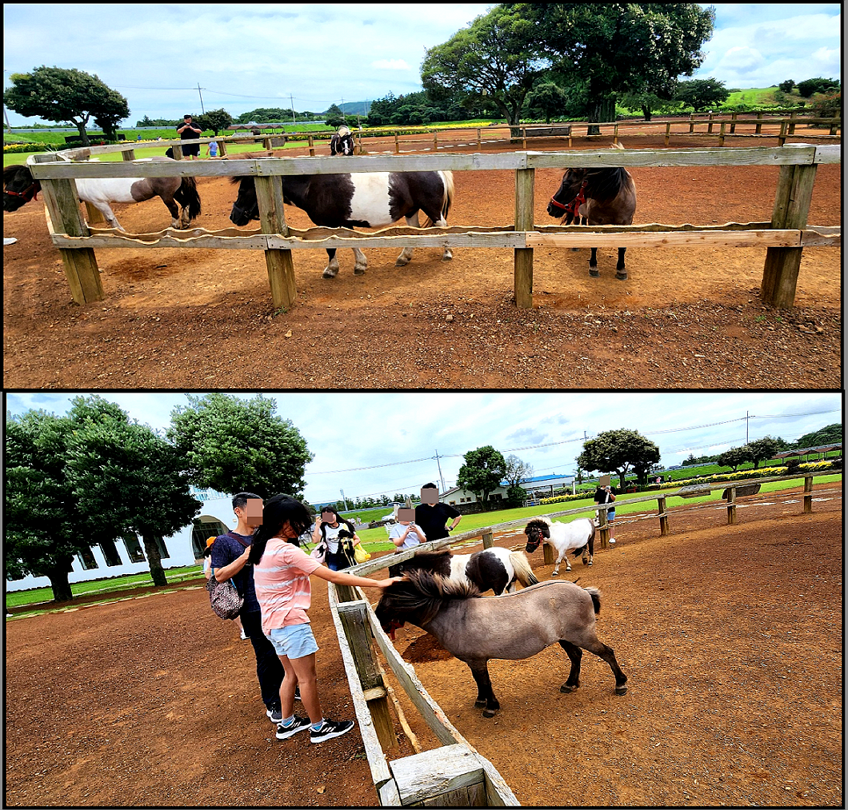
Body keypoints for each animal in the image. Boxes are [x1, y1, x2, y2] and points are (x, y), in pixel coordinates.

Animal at [2, 158, 200, 229]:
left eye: (17, 182)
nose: (5, 204)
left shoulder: (100, 202)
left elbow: (111, 219)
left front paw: (121, 233)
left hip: (166, 195)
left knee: (174, 208)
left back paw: (175, 225)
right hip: (175, 192)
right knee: (185, 203)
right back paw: (186, 222)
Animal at [230, 169, 458, 276]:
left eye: (242, 191)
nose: (234, 216)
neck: (312, 186)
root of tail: (438, 172)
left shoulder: (328, 224)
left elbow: (331, 248)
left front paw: (331, 270)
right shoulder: (343, 223)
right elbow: (351, 243)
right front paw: (360, 265)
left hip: (433, 211)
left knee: (444, 228)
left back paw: (447, 254)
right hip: (411, 211)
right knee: (413, 232)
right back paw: (404, 258)